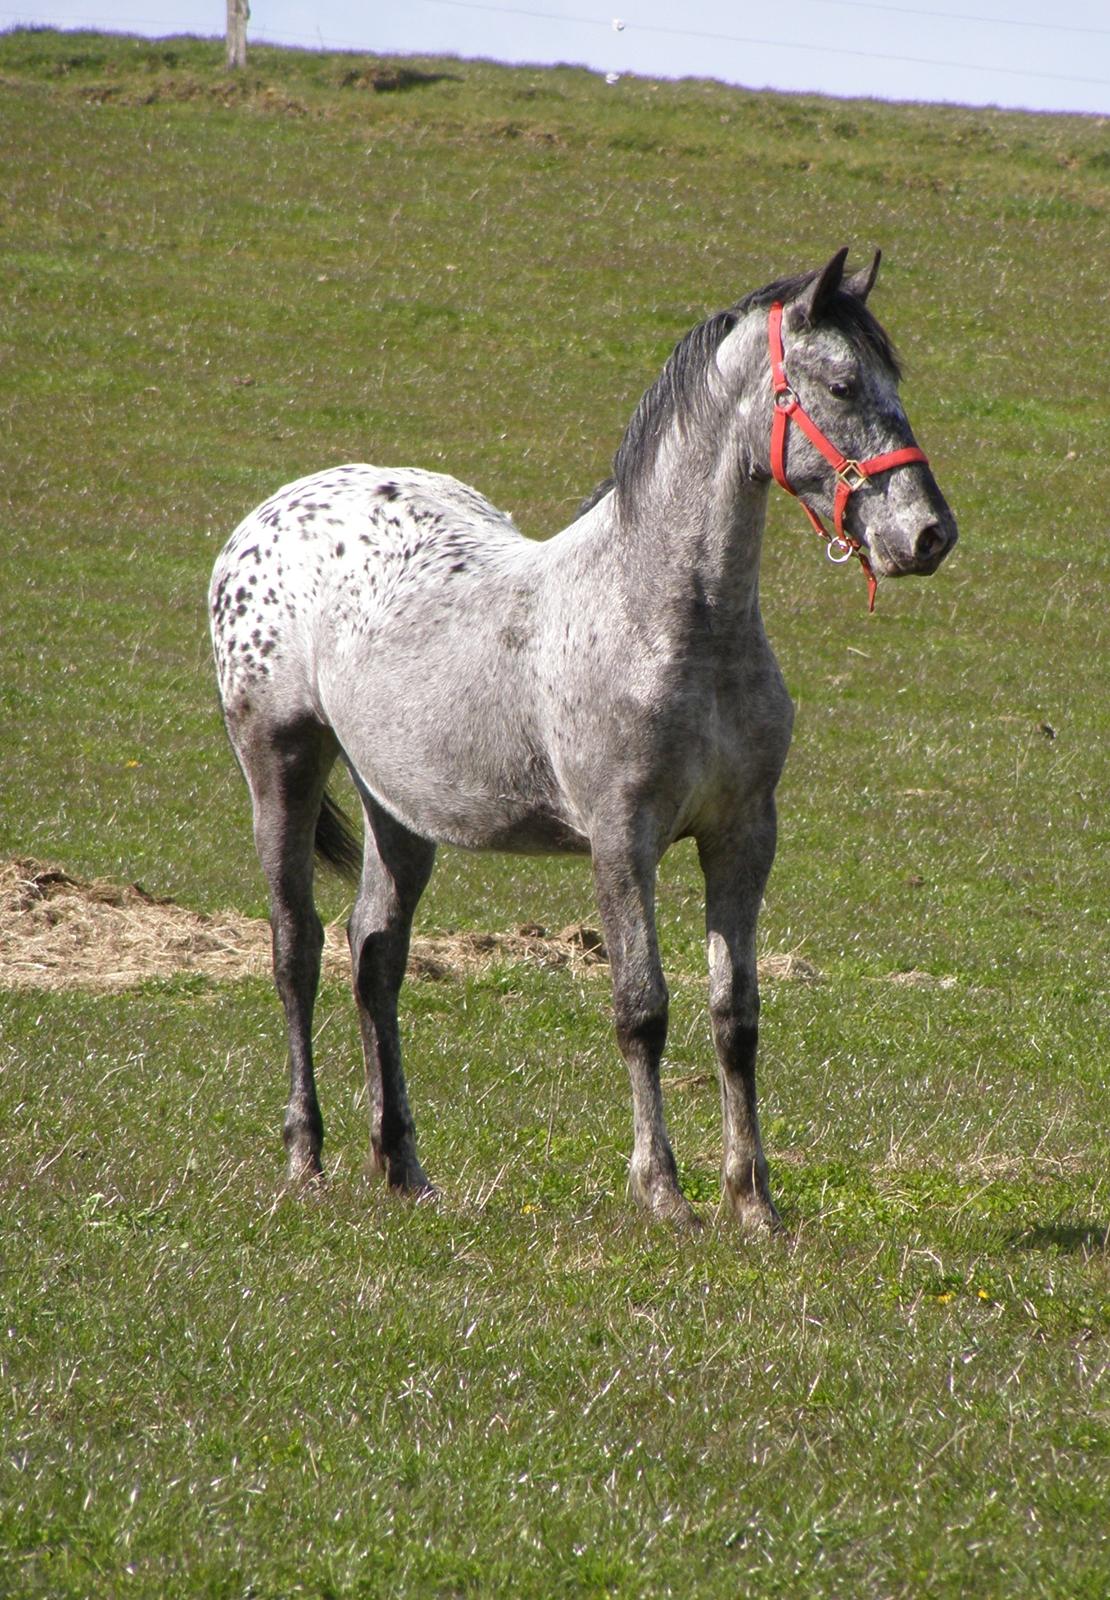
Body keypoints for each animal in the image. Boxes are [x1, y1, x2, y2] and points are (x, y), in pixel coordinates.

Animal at [215, 246, 959, 1222]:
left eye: (893, 382)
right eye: (840, 384)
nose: (930, 533)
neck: (669, 619)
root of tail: (271, 514)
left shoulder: (743, 836)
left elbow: (736, 1016)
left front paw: (752, 1202)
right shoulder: (620, 839)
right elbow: (642, 1009)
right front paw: (664, 1193)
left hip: (399, 808)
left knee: (374, 956)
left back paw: (403, 1167)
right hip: (282, 762)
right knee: (295, 946)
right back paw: (306, 1156)